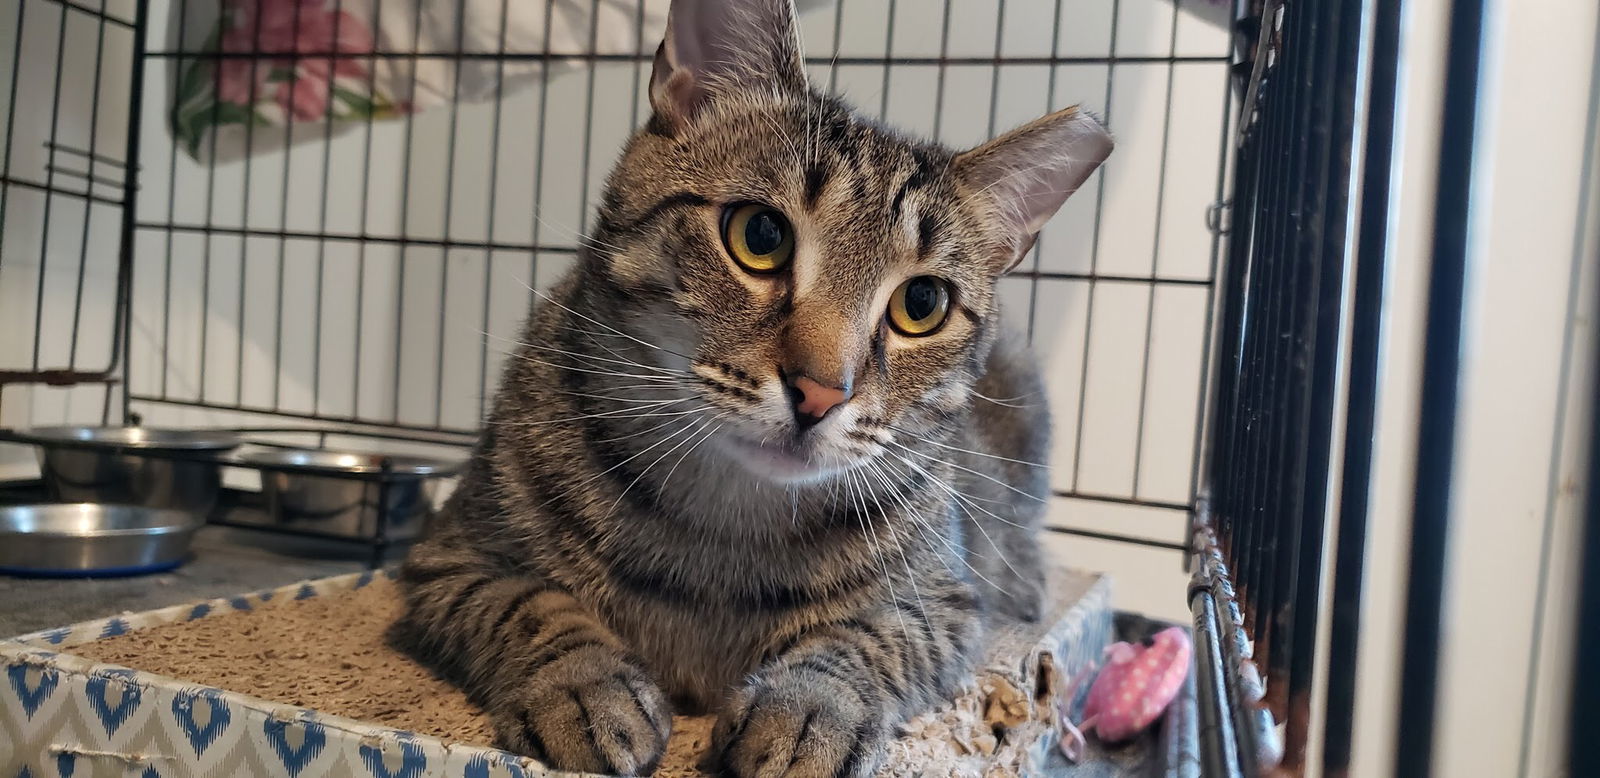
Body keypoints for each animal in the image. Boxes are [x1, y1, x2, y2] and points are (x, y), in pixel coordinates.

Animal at [392, 1, 1107, 771]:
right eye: (760, 234)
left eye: (922, 304)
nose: (822, 392)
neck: (726, 522)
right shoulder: (447, 557)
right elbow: (530, 605)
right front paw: (584, 684)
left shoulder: (944, 604)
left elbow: (867, 639)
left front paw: (809, 709)